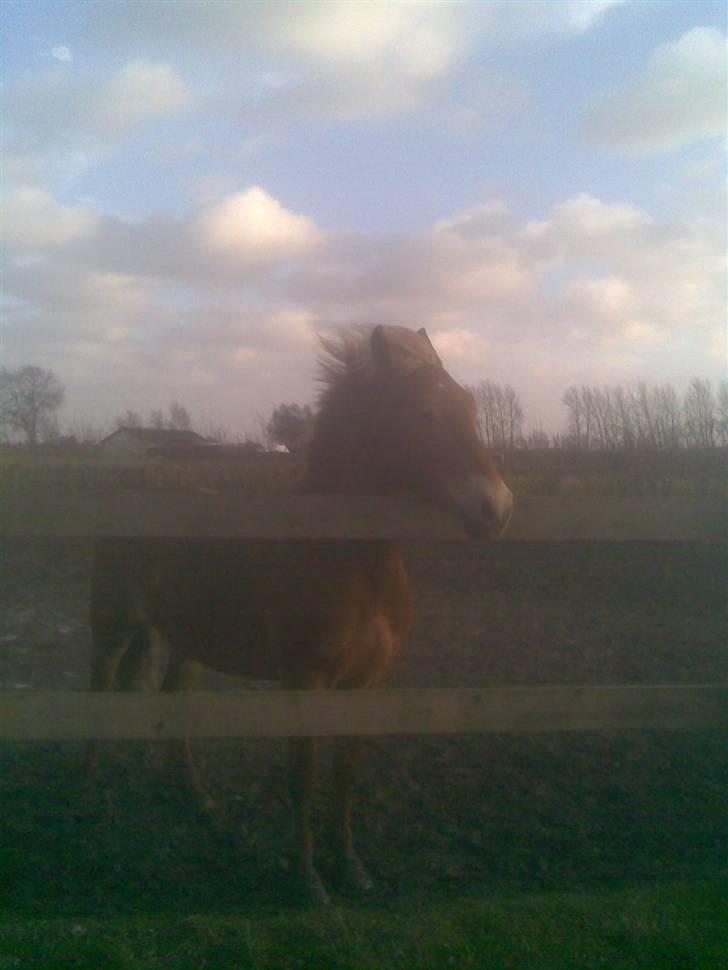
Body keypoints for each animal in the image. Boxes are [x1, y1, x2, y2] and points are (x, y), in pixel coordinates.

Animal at [85, 325, 513, 905]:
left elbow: (345, 773)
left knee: (172, 705)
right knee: (96, 695)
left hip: (187, 644)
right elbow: (303, 774)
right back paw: (85, 798)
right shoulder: (304, 679)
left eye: (467, 405)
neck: (340, 554)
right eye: (423, 412)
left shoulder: (367, 681)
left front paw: (351, 867)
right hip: (111, 628)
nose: (497, 508)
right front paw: (308, 880)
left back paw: (198, 800)